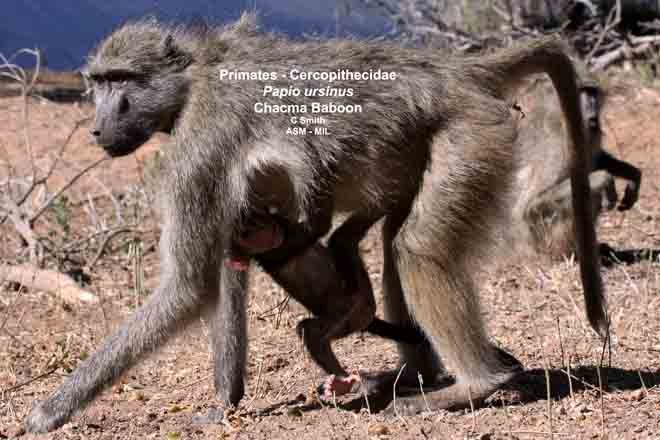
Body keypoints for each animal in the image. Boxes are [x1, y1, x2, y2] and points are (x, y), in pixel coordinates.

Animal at [24, 15, 608, 432]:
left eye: (122, 79)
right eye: (97, 82)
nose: (98, 128)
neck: (193, 78)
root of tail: (456, 70)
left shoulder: (198, 149)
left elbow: (188, 288)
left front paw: (50, 411)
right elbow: (226, 269)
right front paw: (224, 402)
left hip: (470, 133)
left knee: (416, 249)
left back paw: (470, 385)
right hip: (420, 149)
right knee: (394, 244)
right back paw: (411, 374)